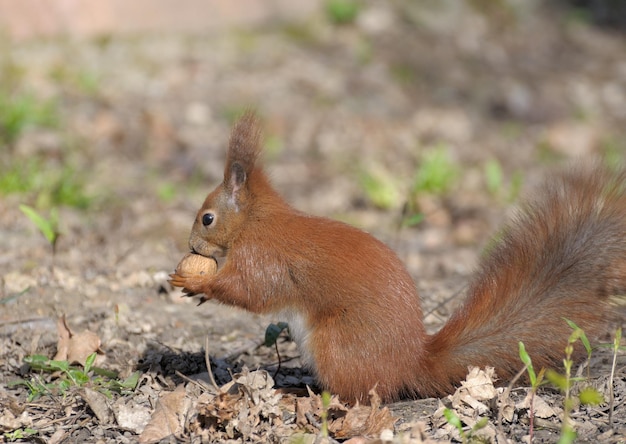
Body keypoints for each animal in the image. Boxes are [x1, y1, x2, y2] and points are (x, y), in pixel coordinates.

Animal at [168, 112, 620, 404]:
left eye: (207, 218)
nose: (190, 247)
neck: (255, 222)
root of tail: (410, 365)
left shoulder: (263, 257)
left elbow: (251, 292)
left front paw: (197, 282)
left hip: (337, 344)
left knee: (359, 395)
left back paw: (303, 393)